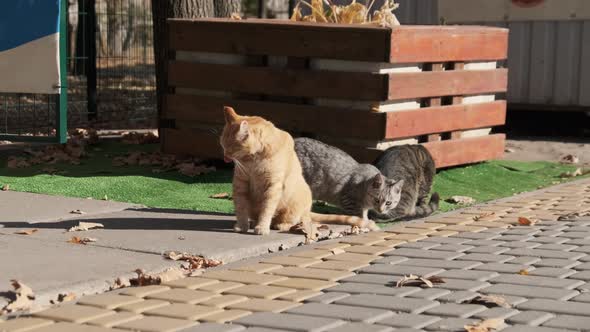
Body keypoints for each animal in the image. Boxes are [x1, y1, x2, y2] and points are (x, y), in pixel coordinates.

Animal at [219, 107, 380, 235]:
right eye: (222, 145)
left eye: (231, 148)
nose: (225, 157)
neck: (253, 161)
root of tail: (307, 211)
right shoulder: (240, 184)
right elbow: (241, 208)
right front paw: (242, 226)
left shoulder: (273, 187)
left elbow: (267, 209)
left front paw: (262, 227)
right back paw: (253, 222)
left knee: (294, 222)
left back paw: (280, 225)